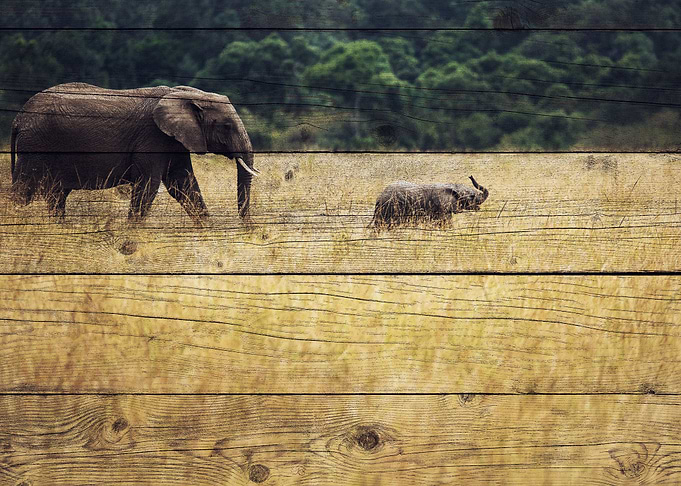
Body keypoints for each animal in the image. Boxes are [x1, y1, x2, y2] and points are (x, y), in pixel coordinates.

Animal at [9, 82, 259, 221]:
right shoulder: (152, 137)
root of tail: (18, 118)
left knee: (56, 194)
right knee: (25, 190)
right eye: (226, 126)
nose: (248, 230)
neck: (183, 94)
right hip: (37, 145)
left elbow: (183, 184)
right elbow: (148, 185)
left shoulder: (174, 140)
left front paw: (207, 232)